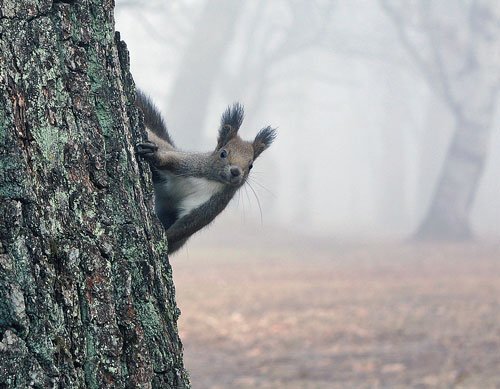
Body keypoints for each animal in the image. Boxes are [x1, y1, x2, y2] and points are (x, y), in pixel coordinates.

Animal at [135, 91, 276, 255]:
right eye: (223, 153)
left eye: (251, 165)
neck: (212, 181)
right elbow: (170, 160)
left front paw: (164, 239)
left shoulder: (211, 205)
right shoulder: (190, 165)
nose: (235, 171)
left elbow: (186, 227)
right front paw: (154, 155)